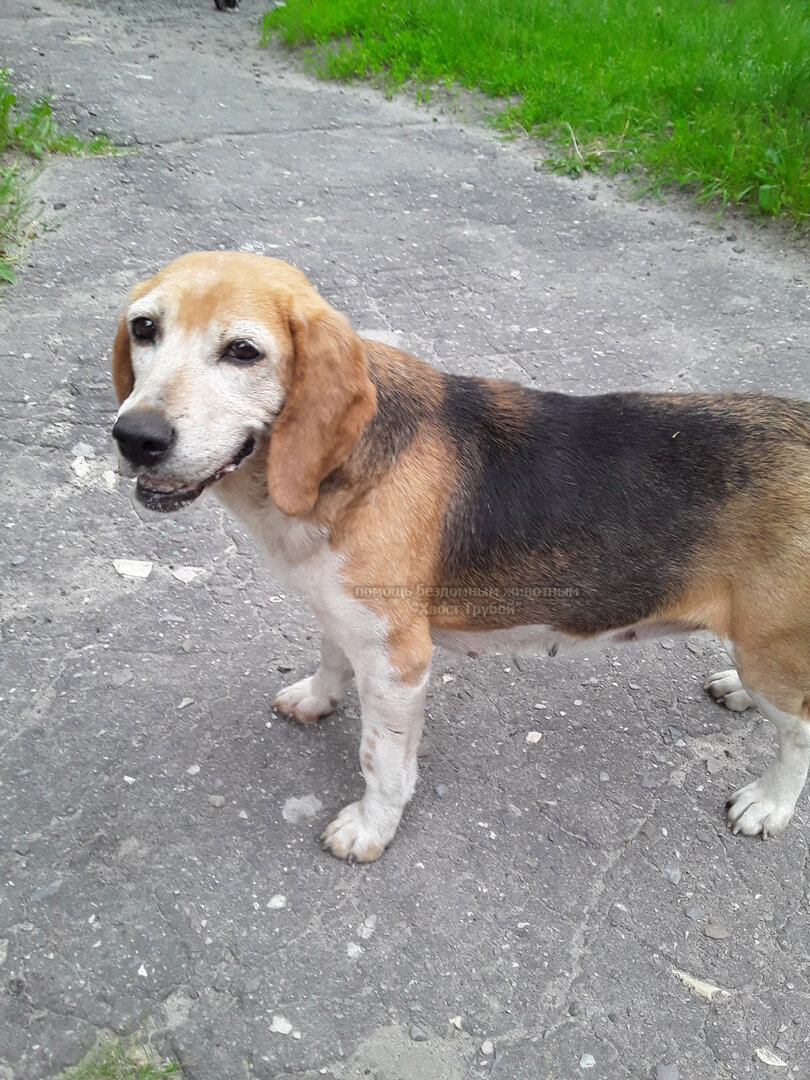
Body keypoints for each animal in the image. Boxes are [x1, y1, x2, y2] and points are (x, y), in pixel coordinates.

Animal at [111, 250, 810, 859]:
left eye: (243, 352)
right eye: (144, 328)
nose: (135, 437)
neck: (338, 470)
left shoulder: (397, 664)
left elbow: (381, 759)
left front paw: (371, 827)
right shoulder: (344, 613)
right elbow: (330, 659)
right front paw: (316, 698)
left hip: (771, 649)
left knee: (799, 732)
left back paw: (769, 803)